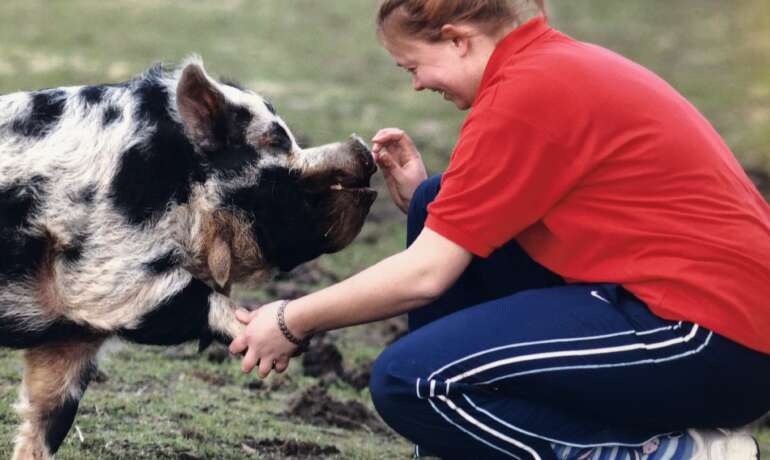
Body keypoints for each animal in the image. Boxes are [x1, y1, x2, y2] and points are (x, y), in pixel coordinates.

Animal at [0, 59, 376, 458]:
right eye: (276, 140)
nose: (362, 147)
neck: (182, 186)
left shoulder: (72, 338)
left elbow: (47, 415)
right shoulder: (104, 273)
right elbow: (193, 298)